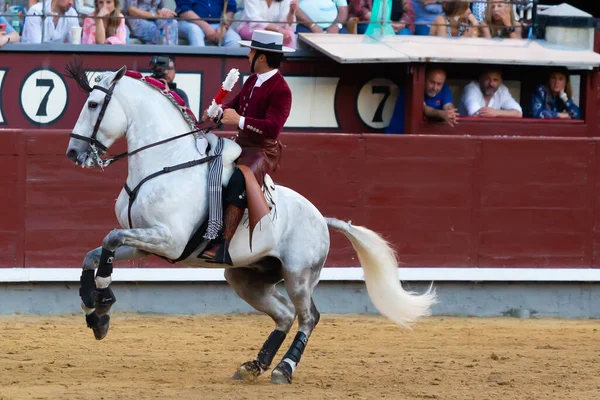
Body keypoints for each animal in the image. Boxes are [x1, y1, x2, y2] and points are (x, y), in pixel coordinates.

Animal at [64, 65, 436, 384]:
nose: (73, 153)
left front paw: (103, 301)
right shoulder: (147, 243)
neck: (167, 162)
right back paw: (254, 365)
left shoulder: (168, 239)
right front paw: (94, 309)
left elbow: (109, 239)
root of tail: (321, 217)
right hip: (246, 278)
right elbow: (95, 251)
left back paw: (283, 369)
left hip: (299, 275)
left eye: (93, 104)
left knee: (308, 317)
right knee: (284, 314)